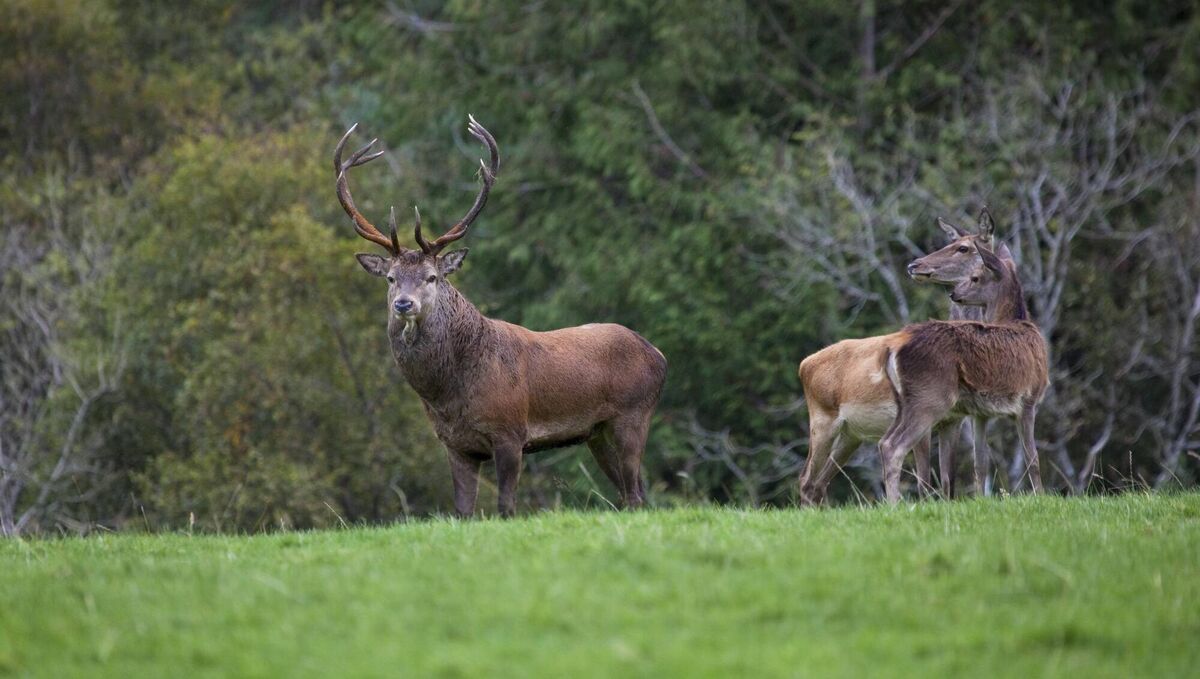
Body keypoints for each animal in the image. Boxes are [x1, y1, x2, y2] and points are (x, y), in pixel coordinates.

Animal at [334, 116, 667, 517]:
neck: (449, 395)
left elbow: (506, 507)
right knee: (631, 494)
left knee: (635, 494)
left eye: (431, 277)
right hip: (597, 432)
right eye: (390, 278)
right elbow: (462, 510)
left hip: (634, 415)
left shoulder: (510, 432)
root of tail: (658, 355)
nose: (403, 304)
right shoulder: (455, 444)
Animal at [797, 210, 1012, 506]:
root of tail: (804, 364)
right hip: (822, 420)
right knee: (806, 479)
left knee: (818, 484)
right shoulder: (925, 416)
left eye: (963, 247)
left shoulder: (953, 419)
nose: (914, 265)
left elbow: (948, 482)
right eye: (952, 242)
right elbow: (924, 481)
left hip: (851, 433)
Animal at [877, 242, 1048, 504]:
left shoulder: (980, 414)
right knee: (892, 446)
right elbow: (1033, 460)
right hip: (931, 398)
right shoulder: (1028, 399)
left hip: (903, 402)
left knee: (884, 441)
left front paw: (981, 500)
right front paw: (1041, 497)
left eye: (975, 277)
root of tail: (893, 348)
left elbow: (981, 463)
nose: (954, 294)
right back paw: (895, 504)